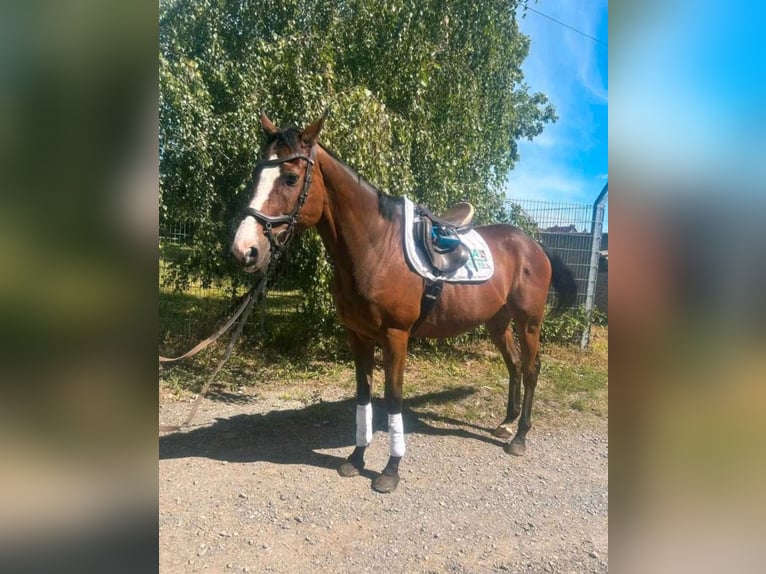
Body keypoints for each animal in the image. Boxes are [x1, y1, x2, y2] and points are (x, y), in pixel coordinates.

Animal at [231, 113, 580, 496]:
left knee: (531, 369)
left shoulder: (396, 336)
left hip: (528, 321)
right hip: (496, 322)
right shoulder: (357, 335)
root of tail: (533, 244)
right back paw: (505, 423)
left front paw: (390, 469)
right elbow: (364, 395)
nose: (245, 250)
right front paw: (356, 458)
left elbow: (393, 397)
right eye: (256, 174)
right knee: (514, 365)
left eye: (291, 177)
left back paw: (519, 437)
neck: (376, 248)